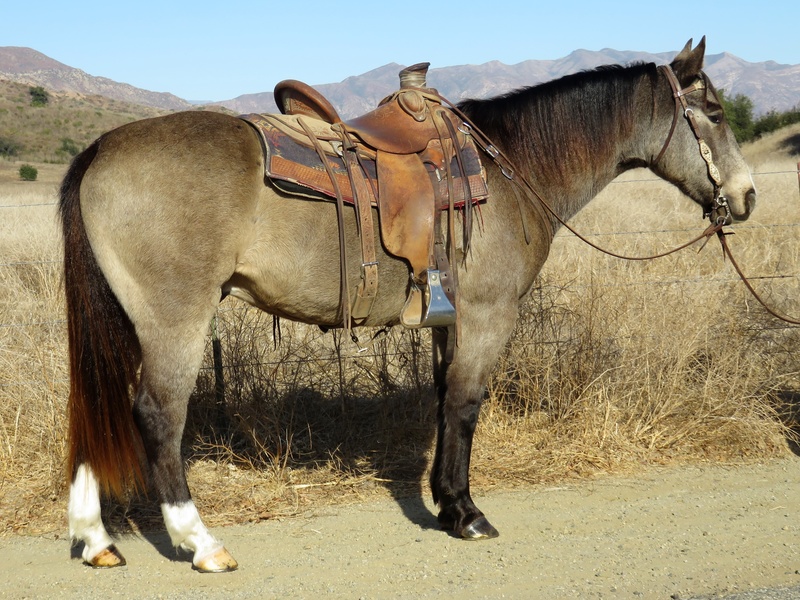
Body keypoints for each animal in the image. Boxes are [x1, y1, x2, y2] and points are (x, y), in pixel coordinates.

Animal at [64, 38, 756, 572]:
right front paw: (467, 513)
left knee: (96, 406)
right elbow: (467, 404)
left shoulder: (450, 321)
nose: (746, 197)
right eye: (715, 113)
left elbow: (445, 398)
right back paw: (200, 543)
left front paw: (446, 502)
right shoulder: (488, 314)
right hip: (174, 321)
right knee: (157, 415)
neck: (511, 169)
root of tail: (101, 148)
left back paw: (97, 540)